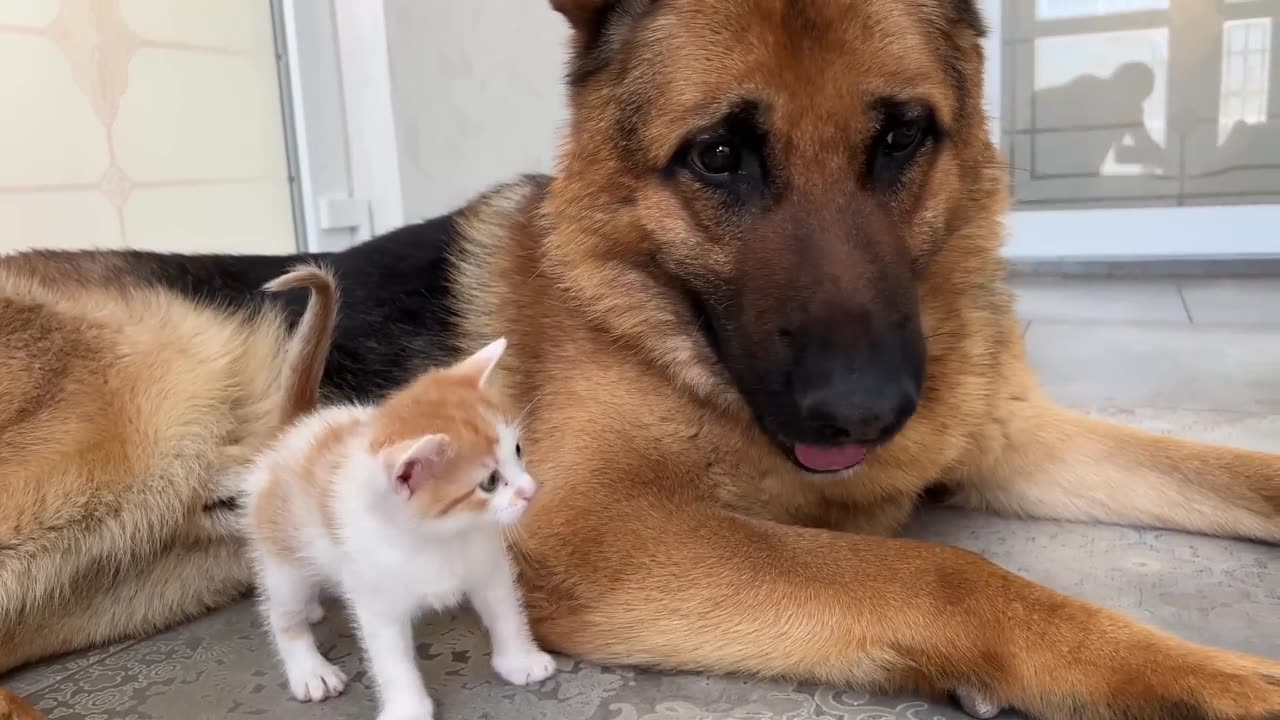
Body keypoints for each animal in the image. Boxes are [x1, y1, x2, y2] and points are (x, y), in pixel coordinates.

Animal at [244, 265, 555, 717]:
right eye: (490, 482)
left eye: (518, 451)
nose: (531, 489)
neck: (439, 537)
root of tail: (295, 429)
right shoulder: (376, 600)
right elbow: (392, 660)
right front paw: (408, 706)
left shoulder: (489, 565)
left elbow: (506, 612)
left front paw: (521, 661)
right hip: (283, 560)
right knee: (281, 611)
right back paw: (309, 669)